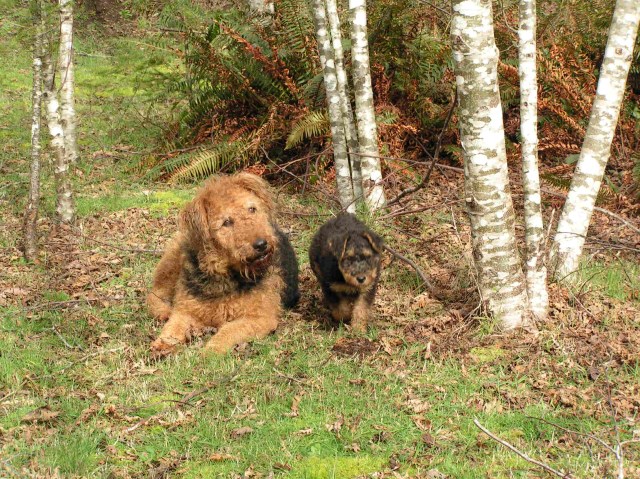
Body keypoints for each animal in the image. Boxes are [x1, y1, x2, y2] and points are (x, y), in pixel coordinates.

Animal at [148, 172, 300, 356]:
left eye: (252, 209)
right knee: (154, 294)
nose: (261, 244)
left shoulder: (260, 317)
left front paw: (209, 353)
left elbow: (228, 331)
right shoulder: (185, 310)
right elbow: (173, 327)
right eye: (226, 222)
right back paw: (164, 311)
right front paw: (162, 344)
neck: (225, 276)